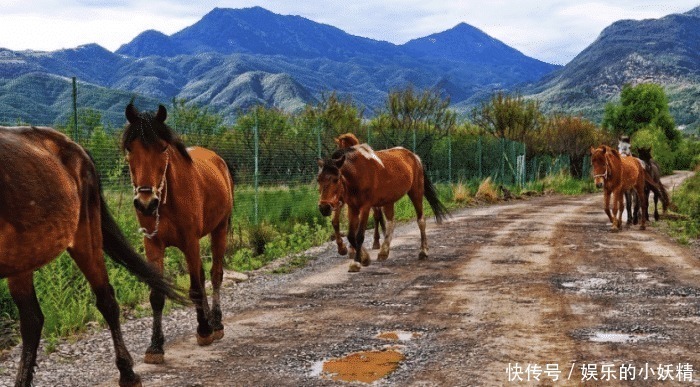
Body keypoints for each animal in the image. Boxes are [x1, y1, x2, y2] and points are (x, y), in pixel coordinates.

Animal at [1, 126, 182, 386]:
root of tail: (76, 147)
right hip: (22, 258)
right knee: (32, 320)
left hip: (85, 236)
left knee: (106, 300)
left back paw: (128, 373)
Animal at [121, 103, 234, 364]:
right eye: (130, 148)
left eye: (163, 147)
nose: (145, 203)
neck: (166, 198)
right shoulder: (153, 245)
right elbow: (157, 295)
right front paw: (155, 346)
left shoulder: (190, 242)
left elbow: (195, 287)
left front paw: (204, 331)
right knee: (203, 275)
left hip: (219, 230)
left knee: (215, 275)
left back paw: (216, 323)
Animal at [318, 143, 448, 272]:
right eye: (318, 179)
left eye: (335, 179)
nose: (324, 208)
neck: (358, 174)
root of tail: (415, 157)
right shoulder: (352, 207)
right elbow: (351, 235)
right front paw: (362, 258)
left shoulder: (365, 207)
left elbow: (359, 236)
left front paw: (358, 262)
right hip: (388, 201)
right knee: (391, 222)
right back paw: (384, 252)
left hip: (416, 192)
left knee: (421, 220)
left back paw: (423, 251)